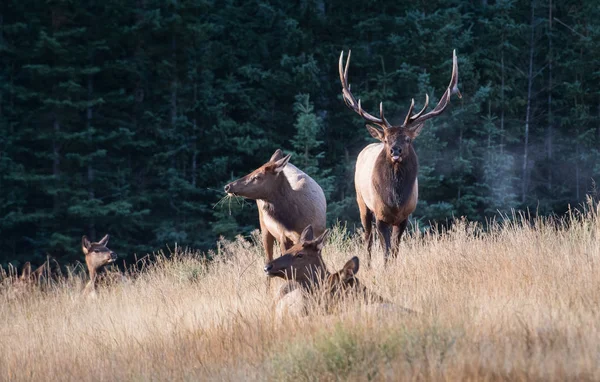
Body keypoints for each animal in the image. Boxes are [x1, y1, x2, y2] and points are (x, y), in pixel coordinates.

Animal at [340, 49, 462, 264]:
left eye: (407, 139)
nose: (395, 151)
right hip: (361, 201)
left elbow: (395, 250)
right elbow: (386, 251)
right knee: (367, 239)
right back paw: (368, 264)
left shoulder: (405, 217)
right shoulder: (380, 214)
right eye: (386, 139)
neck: (395, 200)